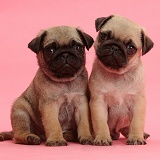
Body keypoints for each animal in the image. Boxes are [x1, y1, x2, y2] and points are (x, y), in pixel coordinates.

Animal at [89, 15, 153, 145]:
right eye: (103, 36)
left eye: (131, 48)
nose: (114, 47)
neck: (117, 75)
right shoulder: (98, 102)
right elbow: (100, 122)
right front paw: (102, 138)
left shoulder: (138, 102)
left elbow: (136, 122)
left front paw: (136, 137)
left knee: (127, 128)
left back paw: (141, 134)